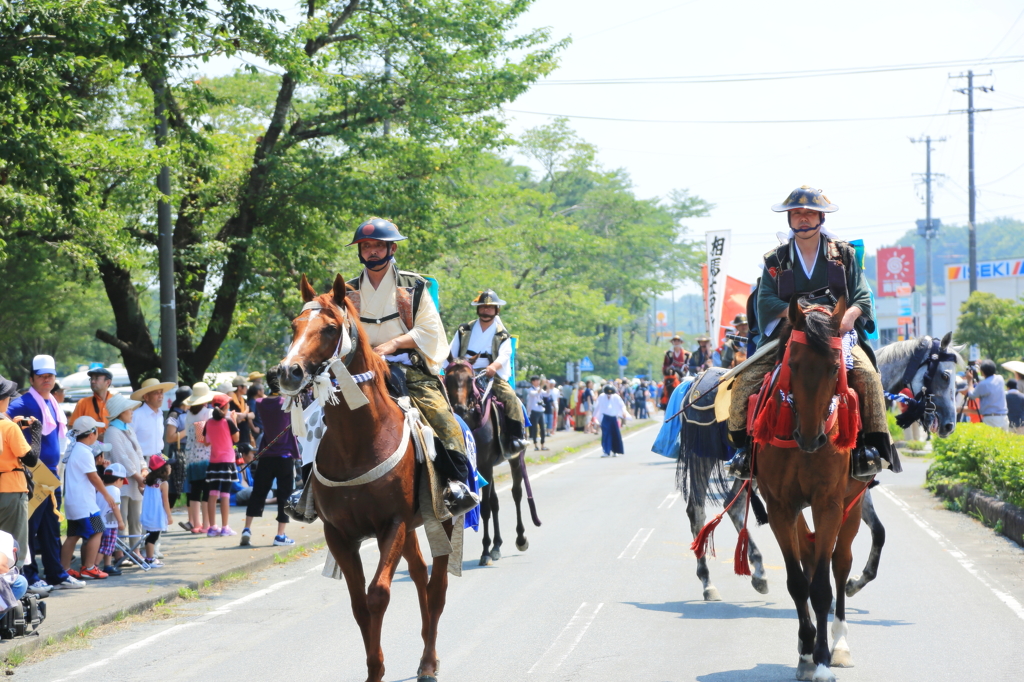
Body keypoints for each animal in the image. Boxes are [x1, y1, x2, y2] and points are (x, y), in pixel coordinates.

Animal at [280, 272, 456, 679]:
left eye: (330, 328)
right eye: (294, 325)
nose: (287, 371)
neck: (358, 441)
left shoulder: (392, 523)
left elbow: (378, 595)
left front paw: (380, 667)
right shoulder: (339, 533)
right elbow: (359, 604)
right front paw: (373, 669)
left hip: (442, 517)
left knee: (436, 588)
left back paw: (429, 660)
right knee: (420, 574)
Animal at [442, 360, 540, 561]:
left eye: (470, 378)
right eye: (448, 377)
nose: (460, 408)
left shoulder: (485, 465)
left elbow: (485, 507)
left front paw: (485, 551)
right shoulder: (480, 467)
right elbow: (489, 504)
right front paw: (490, 547)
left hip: (515, 459)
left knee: (516, 494)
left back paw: (520, 539)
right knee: (495, 501)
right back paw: (497, 545)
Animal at [757, 296, 868, 679]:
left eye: (835, 369)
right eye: (793, 363)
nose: (810, 438)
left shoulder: (828, 503)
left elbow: (821, 586)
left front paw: (820, 659)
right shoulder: (779, 505)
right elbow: (797, 582)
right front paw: (806, 653)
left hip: (854, 504)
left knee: (840, 562)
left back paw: (841, 645)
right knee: (808, 556)